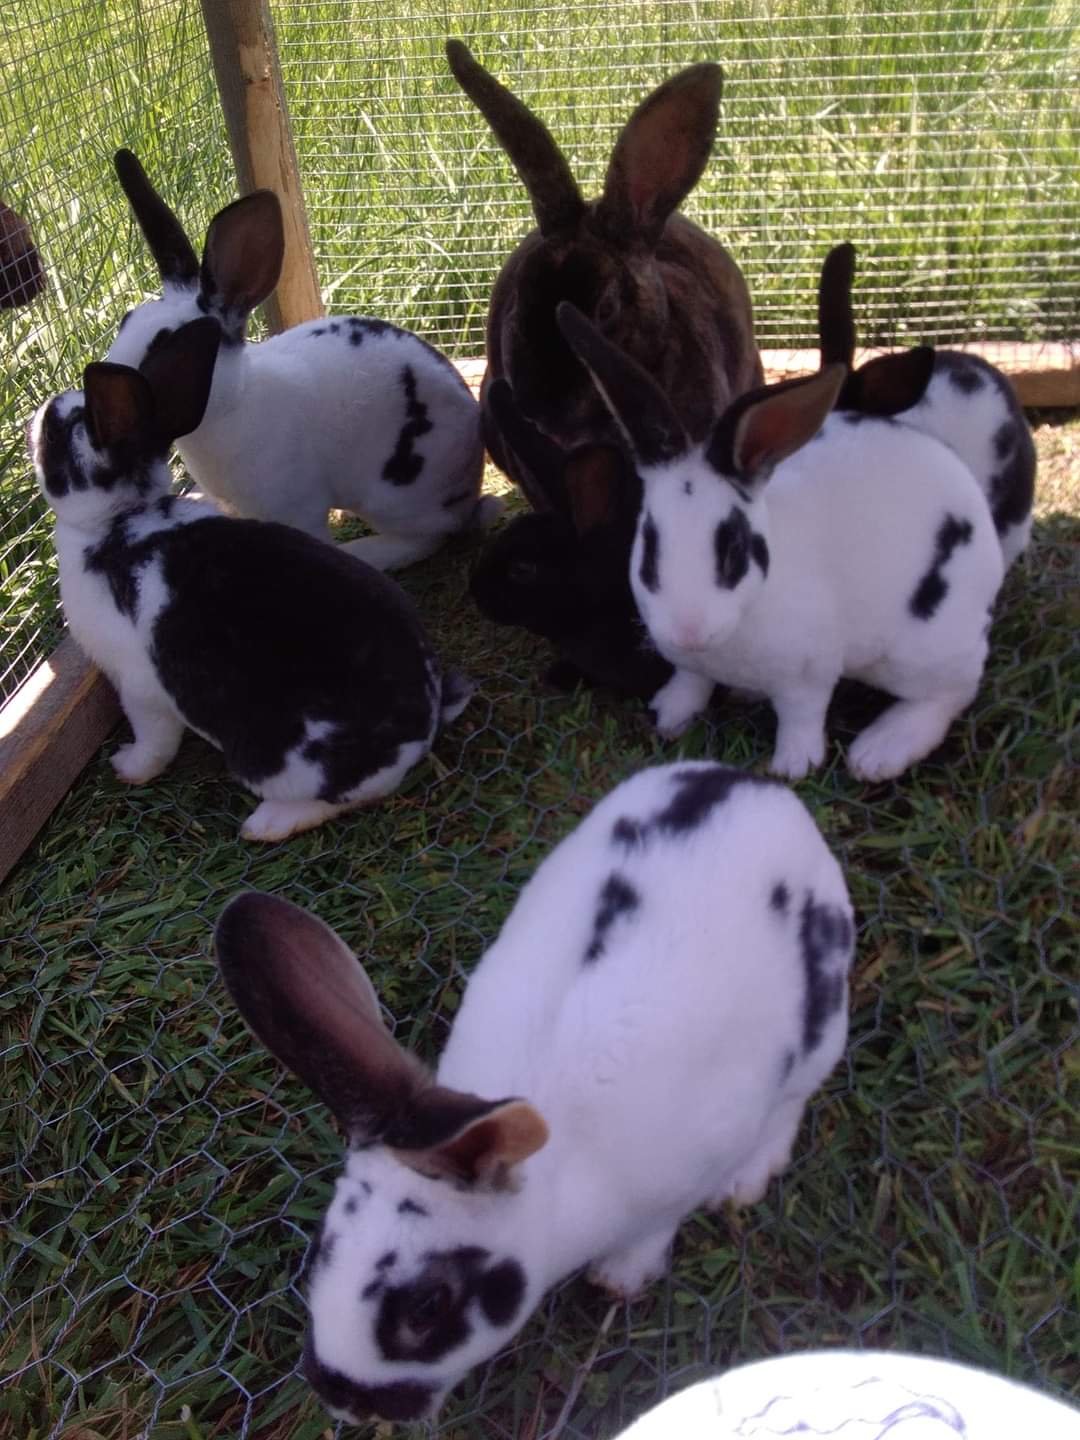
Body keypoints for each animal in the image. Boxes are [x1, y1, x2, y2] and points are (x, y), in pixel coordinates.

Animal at [27, 317, 472, 843]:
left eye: (57, 433)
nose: (39, 413)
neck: (119, 520)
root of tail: (420, 730)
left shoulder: (139, 687)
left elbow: (154, 741)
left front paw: (128, 767)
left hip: (272, 756)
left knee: (347, 796)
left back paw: (266, 824)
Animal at [105, 148, 497, 571]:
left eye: (167, 344)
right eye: (126, 321)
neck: (234, 405)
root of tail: (470, 482)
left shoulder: (297, 508)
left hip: (396, 496)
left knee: (426, 537)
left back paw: (366, 552)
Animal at [214, 759, 854, 1423]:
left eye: (428, 1306)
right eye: (321, 1250)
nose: (338, 1395)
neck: (556, 1187)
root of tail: (755, 787)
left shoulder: (685, 1174)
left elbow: (658, 1228)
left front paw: (620, 1279)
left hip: (823, 1022)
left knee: (792, 1100)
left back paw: (747, 1180)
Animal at [557, 301, 1006, 782]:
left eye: (734, 548)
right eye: (648, 544)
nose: (688, 632)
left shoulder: (810, 673)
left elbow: (801, 716)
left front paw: (793, 767)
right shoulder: (690, 664)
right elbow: (690, 682)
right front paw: (668, 715)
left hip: (923, 650)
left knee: (952, 692)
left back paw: (879, 751)